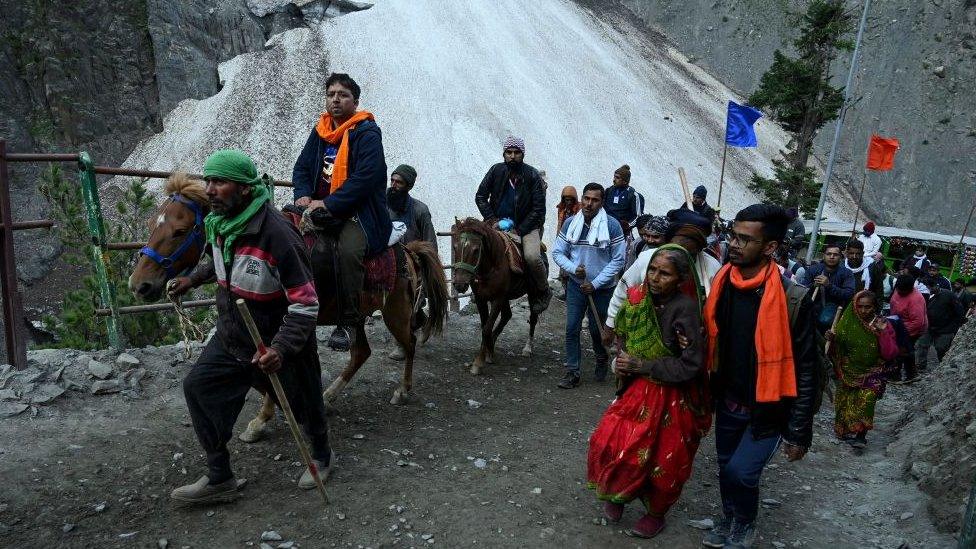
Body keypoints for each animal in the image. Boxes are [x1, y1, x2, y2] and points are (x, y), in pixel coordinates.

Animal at [129, 176, 450, 440]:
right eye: (151, 225)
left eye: (180, 231)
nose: (139, 284)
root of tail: (406, 250)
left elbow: (270, 372)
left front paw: (261, 420)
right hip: (358, 315)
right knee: (361, 353)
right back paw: (330, 395)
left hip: (396, 311)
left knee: (408, 343)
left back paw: (402, 390)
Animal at [452, 216, 540, 374]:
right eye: (455, 247)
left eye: (476, 250)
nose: (460, 285)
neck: (491, 267)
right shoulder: (481, 299)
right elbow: (484, 326)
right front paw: (488, 352)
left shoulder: (498, 299)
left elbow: (487, 328)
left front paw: (478, 363)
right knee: (507, 316)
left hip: (531, 293)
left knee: (533, 317)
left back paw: (527, 348)